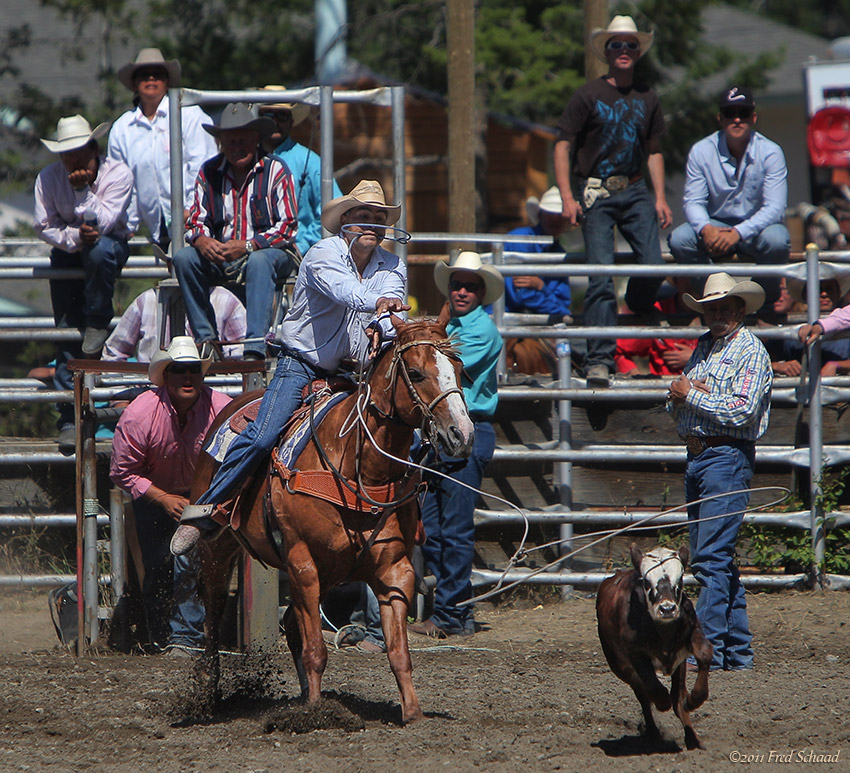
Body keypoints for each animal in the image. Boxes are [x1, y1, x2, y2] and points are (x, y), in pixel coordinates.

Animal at [190, 306, 470, 724]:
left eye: (459, 366)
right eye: (417, 372)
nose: (462, 435)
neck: (356, 466)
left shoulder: (394, 571)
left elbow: (398, 651)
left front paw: (413, 713)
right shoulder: (302, 562)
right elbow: (316, 651)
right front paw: (316, 715)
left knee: (291, 624)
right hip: (219, 550)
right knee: (213, 611)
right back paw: (208, 693)